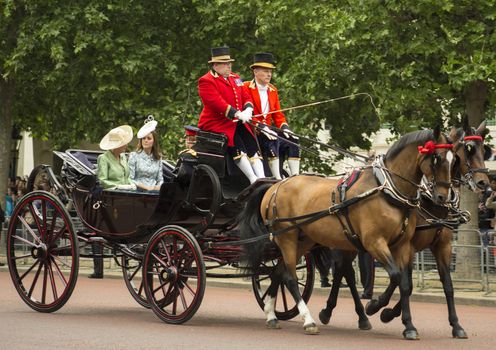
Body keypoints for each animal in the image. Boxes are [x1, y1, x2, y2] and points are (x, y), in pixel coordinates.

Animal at [239, 127, 454, 338]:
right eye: (437, 158)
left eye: (454, 160)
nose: (443, 197)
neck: (387, 191)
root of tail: (275, 186)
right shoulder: (374, 243)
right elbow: (395, 276)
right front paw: (374, 306)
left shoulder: (402, 245)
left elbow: (404, 283)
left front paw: (407, 325)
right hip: (287, 238)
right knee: (290, 277)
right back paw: (308, 321)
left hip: (303, 240)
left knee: (277, 271)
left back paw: (271, 315)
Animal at [364, 119, 488, 336]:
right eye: (468, 149)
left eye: (484, 149)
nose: (485, 184)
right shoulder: (408, 247)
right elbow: (407, 283)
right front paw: (384, 310)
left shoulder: (442, 246)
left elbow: (447, 285)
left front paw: (456, 325)